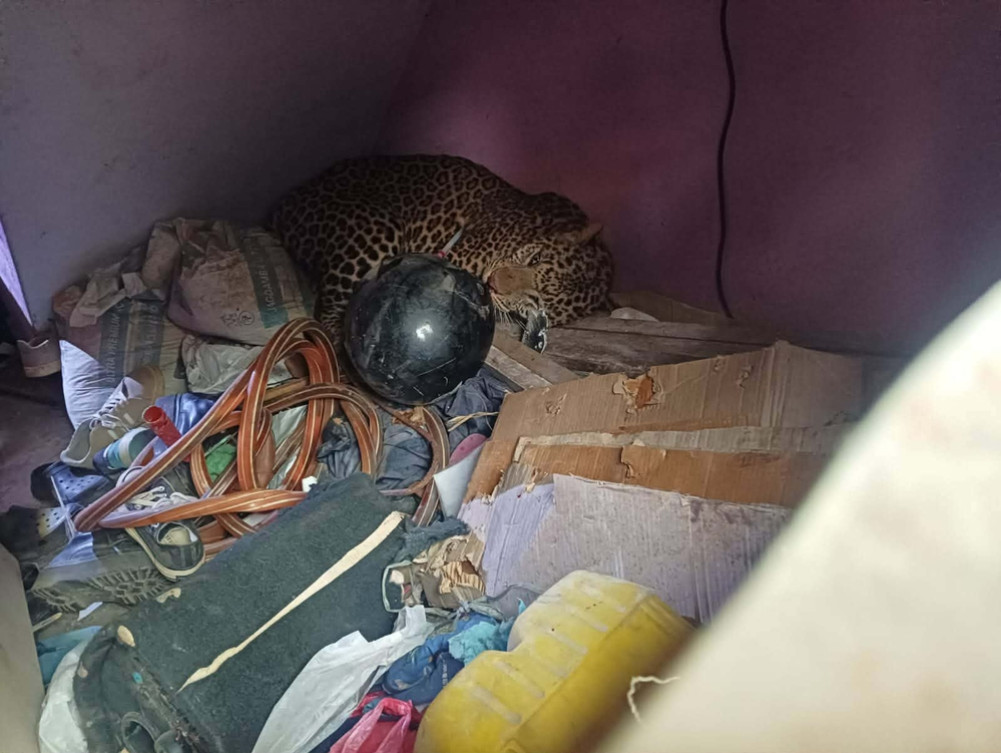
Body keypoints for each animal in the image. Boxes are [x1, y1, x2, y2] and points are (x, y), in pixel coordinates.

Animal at [270, 154, 613, 349]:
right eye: (534, 259)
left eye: (534, 301)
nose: (492, 282)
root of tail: (286, 201)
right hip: (378, 227)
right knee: (327, 316)